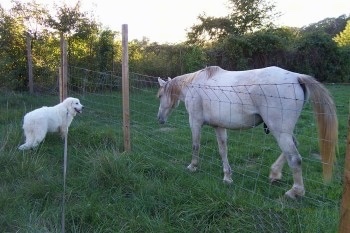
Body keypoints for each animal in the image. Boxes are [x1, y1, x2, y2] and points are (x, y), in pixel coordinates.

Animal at [157, 65, 338, 198]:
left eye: (159, 96)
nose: (159, 119)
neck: (194, 84)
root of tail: (296, 76)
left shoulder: (194, 122)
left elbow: (196, 146)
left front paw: (192, 166)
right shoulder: (219, 127)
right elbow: (223, 150)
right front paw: (227, 177)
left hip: (279, 131)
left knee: (294, 158)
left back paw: (295, 192)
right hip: (283, 132)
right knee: (293, 147)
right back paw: (274, 174)